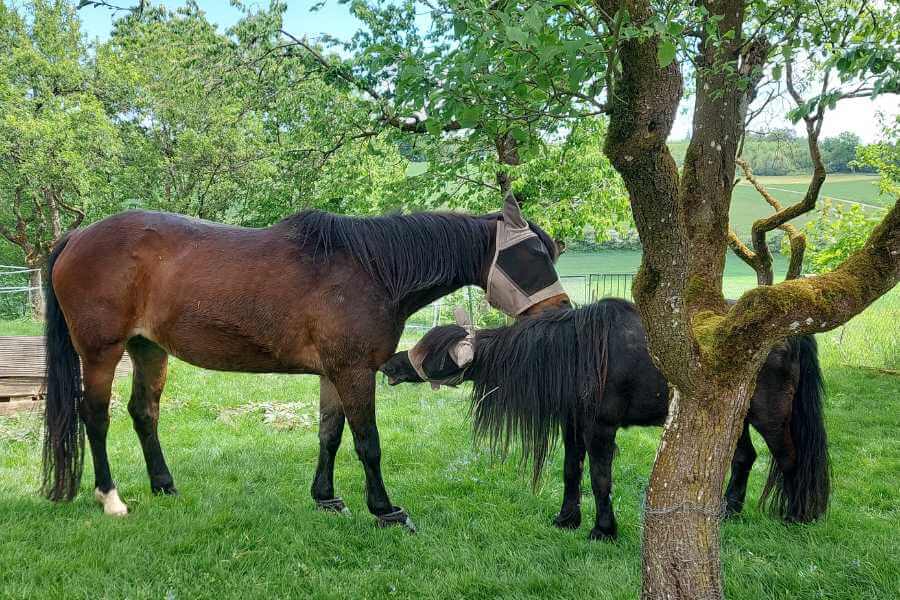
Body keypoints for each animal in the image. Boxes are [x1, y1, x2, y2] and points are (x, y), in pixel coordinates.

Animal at [40, 199, 568, 528]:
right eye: (530, 254)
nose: (560, 310)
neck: (372, 269)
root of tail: (77, 237)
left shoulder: (334, 375)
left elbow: (329, 435)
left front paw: (326, 498)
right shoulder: (355, 372)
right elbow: (368, 444)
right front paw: (385, 509)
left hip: (149, 350)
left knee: (144, 414)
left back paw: (164, 486)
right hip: (101, 353)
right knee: (96, 418)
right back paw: (110, 497)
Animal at [380, 300, 828, 540]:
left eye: (433, 353)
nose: (390, 364)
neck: (575, 352)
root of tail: (792, 332)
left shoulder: (600, 429)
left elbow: (599, 478)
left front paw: (602, 529)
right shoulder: (573, 427)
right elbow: (570, 472)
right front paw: (567, 519)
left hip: (771, 416)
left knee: (788, 459)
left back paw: (793, 515)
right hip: (731, 416)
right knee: (743, 458)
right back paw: (729, 511)